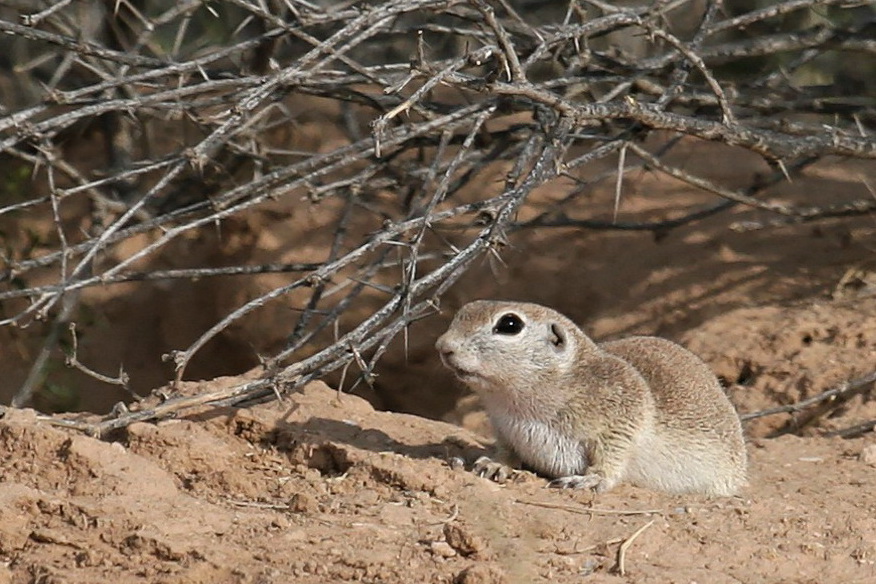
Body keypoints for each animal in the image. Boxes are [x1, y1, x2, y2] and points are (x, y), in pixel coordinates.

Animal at [435, 300, 747, 496]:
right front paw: (494, 464)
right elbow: (506, 450)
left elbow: (613, 454)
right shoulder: (503, 428)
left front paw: (588, 479)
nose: (443, 346)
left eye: (509, 324)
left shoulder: (622, 415)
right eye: (463, 312)